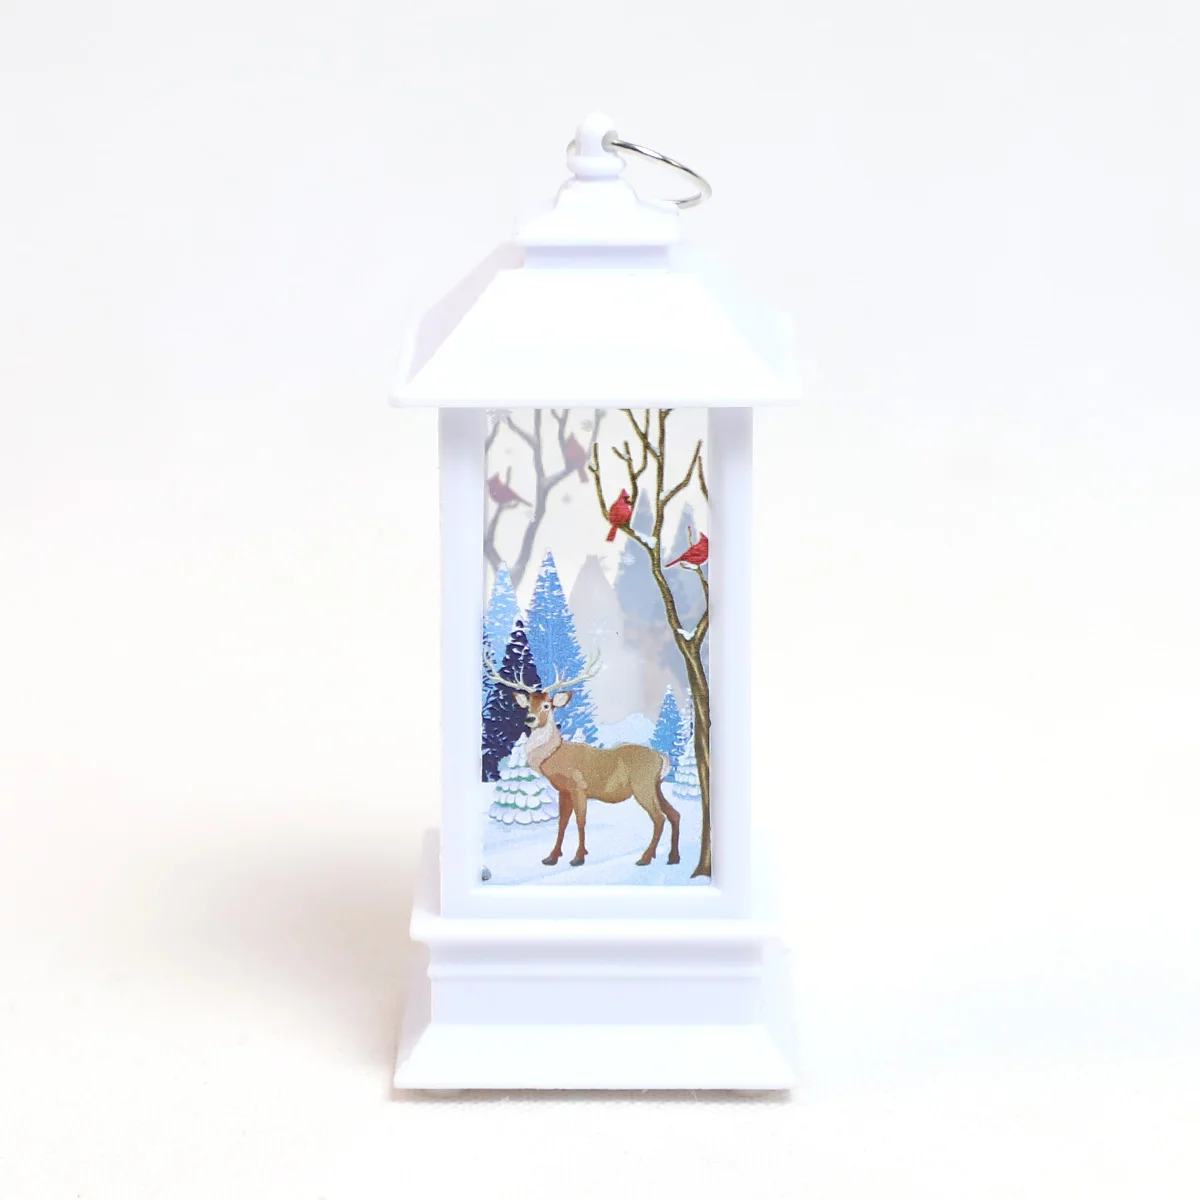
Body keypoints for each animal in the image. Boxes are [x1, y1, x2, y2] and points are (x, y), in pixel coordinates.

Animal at [485, 651, 681, 869]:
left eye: (547, 705)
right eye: (528, 705)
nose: (530, 719)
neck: (554, 756)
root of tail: (662, 758)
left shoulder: (579, 786)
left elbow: (580, 820)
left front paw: (579, 857)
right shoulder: (563, 791)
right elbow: (562, 822)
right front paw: (552, 856)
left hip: (642, 785)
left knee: (659, 818)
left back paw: (645, 858)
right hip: (655, 786)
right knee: (674, 814)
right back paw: (673, 857)